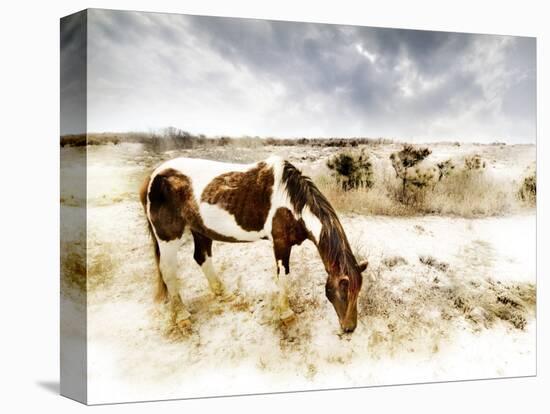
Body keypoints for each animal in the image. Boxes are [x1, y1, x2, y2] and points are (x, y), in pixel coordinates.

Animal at [140, 155, 368, 334]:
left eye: (358, 293)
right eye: (343, 292)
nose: (350, 328)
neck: (292, 202)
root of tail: (153, 176)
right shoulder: (281, 244)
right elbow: (283, 278)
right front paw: (286, 314)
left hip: (200, 229)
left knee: (201, 257)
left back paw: (224, 294)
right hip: (168, 237)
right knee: (168, 271)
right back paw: (182, 317)